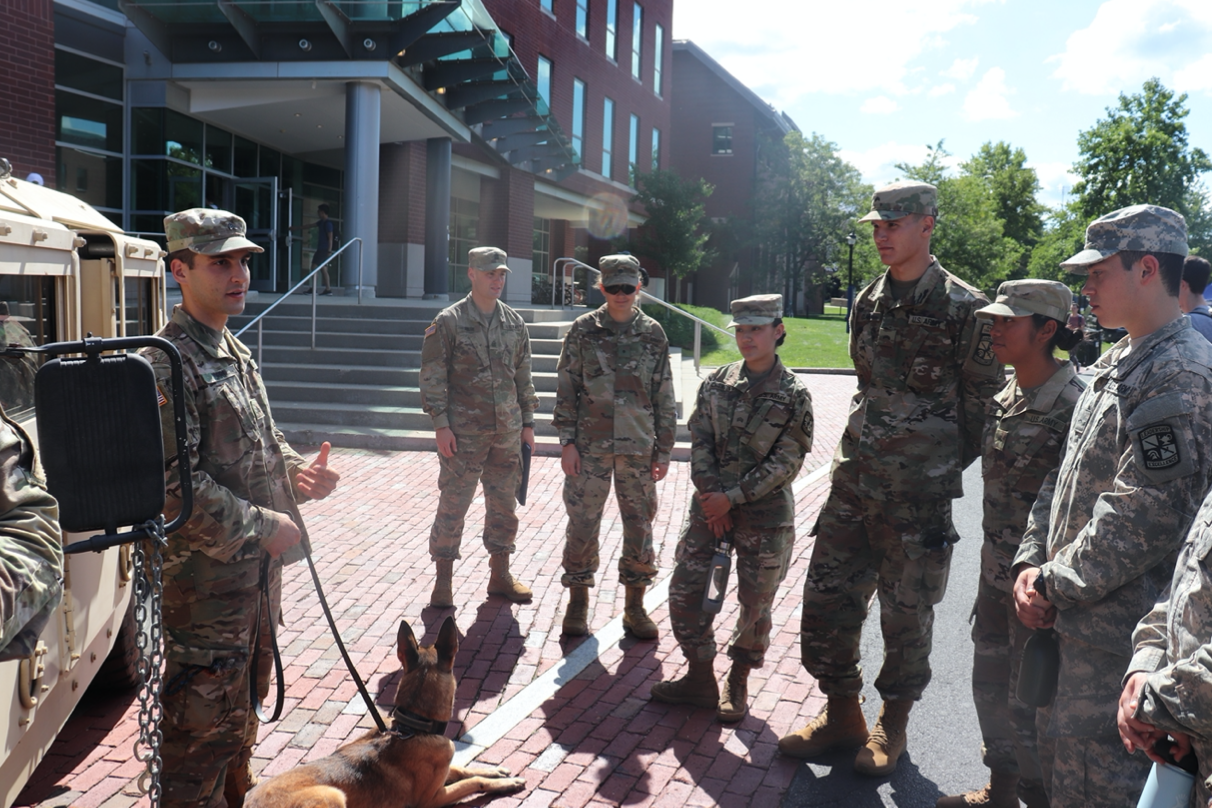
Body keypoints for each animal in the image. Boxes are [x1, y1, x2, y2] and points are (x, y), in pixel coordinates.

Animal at [246, 615, 526, 804]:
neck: (414, 726)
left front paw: (496, 771)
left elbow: (463, 769)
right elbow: (473, 781)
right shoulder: (433, 798)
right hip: (332, 795)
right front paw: (505, 783)